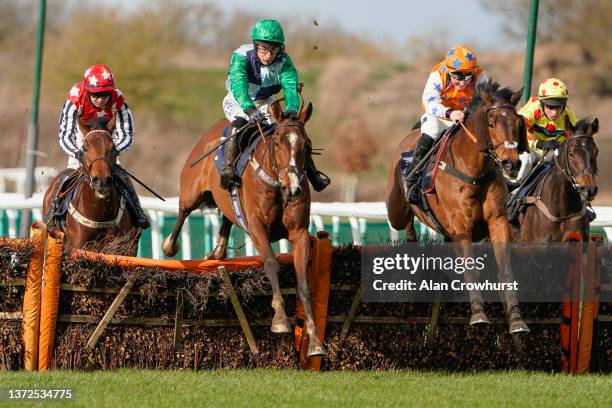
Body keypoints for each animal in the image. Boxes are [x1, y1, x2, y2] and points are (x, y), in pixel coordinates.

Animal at [160, 99, 328, 356]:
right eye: (277, 142)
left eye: (306, 145)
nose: (293, 189)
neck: (277, 185)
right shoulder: (258, 228)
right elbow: (270, 263)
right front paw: (280, 319)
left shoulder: (299, 233)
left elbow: (303, 284)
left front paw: (316, 341)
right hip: (192, 191)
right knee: (183, 211)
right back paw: (170, 245)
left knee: (227, 217)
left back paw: (217, 251)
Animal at [388, 81, 532, 334]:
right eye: (491, 123)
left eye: (517, 124)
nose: (511, 164)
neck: (475, 171)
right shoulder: (461, 226)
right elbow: (471, 268)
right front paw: (479, 315)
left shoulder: (497, 221)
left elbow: (505, 267)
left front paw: (516, 319)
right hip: (396, 208)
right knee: (403, 221)